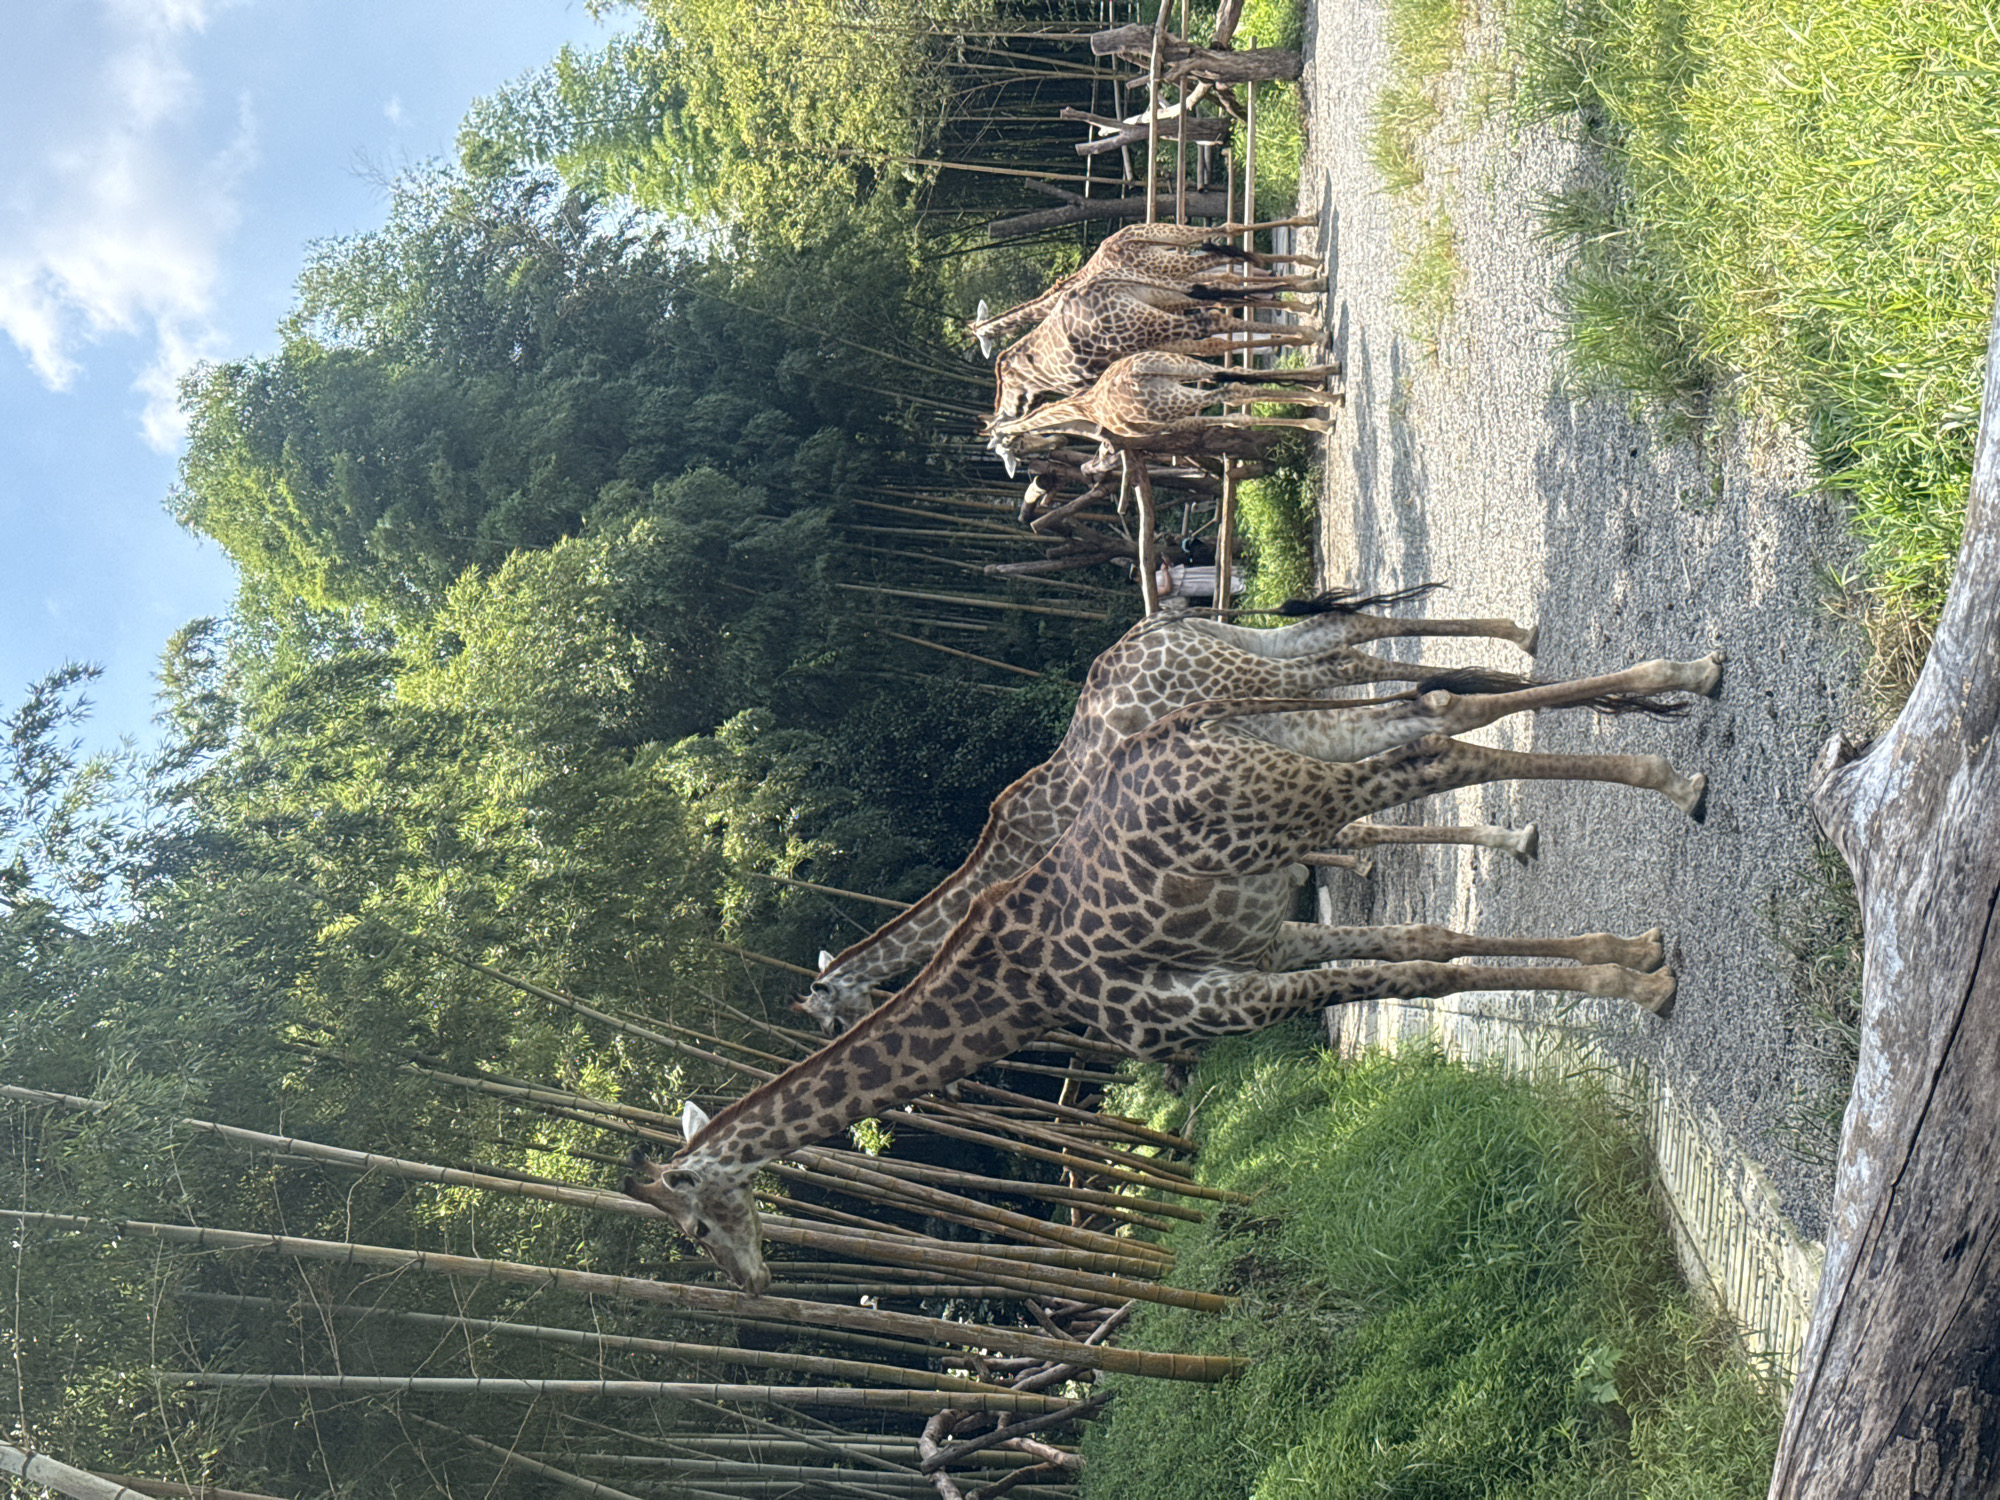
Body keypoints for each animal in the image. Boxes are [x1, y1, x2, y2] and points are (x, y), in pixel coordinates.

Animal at [625, 647, 1723, 1291]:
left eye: (691, 1229)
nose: (754, 1283)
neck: (1019, 997)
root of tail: (1186, 717)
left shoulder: (1223, 1001)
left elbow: (1419, 979)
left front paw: (1634, 984)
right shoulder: (1263, 945)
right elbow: (1428, 949)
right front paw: (1629, 957)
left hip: (1293, 792)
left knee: (1438, 747)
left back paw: (1672, 773)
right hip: (1304, 759)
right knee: (1439, 714)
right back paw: (1687, 683)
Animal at [797, 586, 1545, 1035]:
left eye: (826, 1019)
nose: (850, 1026)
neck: (1010, 851)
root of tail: (1160, 619)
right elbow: (1345, 827)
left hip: (1244, 678)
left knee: (1343, 662)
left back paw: (1520, 660)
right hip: (1241, 651)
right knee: (1346, 633)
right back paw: (1515, 655)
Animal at [970, 217, 1325, 358]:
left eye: (982, 336)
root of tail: (1127, 234)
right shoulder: (1173, 297)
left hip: (1173, 256)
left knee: (1227, 237)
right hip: (1174, 257)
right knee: (1229, 253)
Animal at [987, 349, 1340, 477]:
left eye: (1010, 448)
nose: (1044, 449)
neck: (1086, 409)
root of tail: (1135, 375)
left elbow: (1235, 412)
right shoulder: (1173, 422)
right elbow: (1237, 402)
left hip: (1173, 398)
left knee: (1233, 393)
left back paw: (1323, 420)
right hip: (1181, 366)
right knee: (1238, 376)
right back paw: (1327, 386)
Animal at [990, 281, 1324, 426]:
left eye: (1005, 384)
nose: (1007, 412)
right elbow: (1225, 366)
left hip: (1152, 321)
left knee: (1216, 315)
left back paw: (1312, 331)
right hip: (1162, 300)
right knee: (1217, 297)